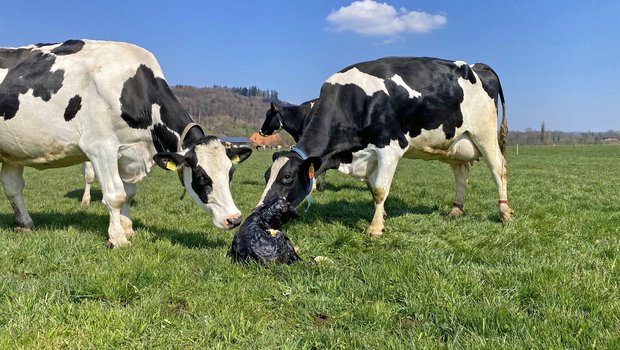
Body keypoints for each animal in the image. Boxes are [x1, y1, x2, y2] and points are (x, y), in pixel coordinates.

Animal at [0, 39, 252, 247]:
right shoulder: (100, 148)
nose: (234, 219)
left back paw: (25, 224)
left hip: (13, 151)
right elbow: (115, 195)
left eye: (230, 174)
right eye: (201, 177)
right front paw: (117, 238)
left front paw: (127, 227)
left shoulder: (128, 152)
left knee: (13, 187)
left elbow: (129, 193)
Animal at [260, 57, 512, 237]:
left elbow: (381, 189)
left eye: (287, 178)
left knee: (498, 170)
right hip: (455, 144)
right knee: (462, 173)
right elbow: (373, 189)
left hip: (485, 134)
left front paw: (375, 229)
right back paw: (456, 209)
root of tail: (477, 66)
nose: (258, 210)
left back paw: (505, 213)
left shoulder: (390, 148)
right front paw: (382, 217)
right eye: (266, 175)